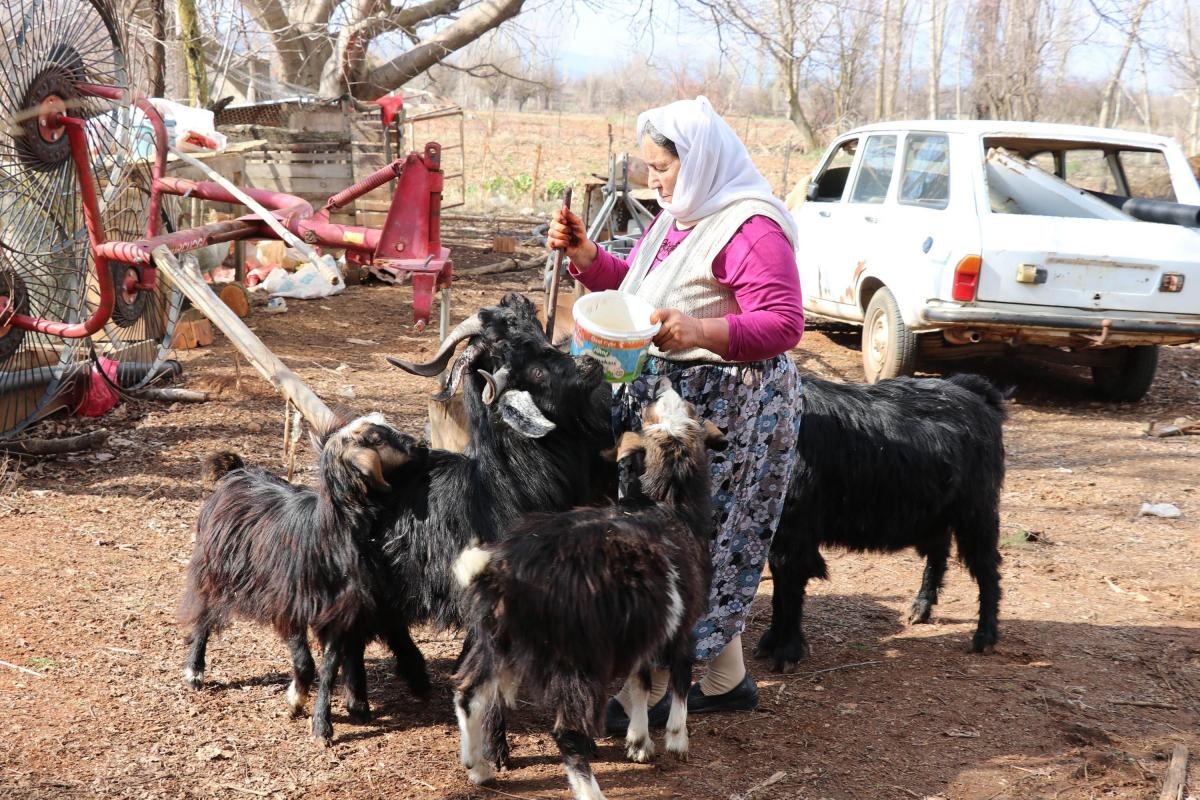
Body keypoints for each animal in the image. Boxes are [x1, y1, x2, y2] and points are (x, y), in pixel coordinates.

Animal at [178, 412, 432, 743]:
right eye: (376, 438)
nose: (423, 445)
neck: (328, 533)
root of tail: (238, 471)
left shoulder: (337, 615)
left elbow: (329, 669)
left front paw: (322, 725)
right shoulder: (290, 604)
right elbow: (305, 662)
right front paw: (296, 700)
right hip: (216, 570)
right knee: (204, 616)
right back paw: (194, 671)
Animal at [453, 383, 724, 796]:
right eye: (652, 410)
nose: (665, 384)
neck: (670, 504)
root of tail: (506, 573)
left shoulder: (644, 627)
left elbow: (641, 681)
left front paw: (639, 742)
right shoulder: (684, 622)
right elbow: (679, 674)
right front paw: (677, 740)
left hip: (494, 641)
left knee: (468, 694)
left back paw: (479, 768)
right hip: (578, 661)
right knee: (567, 732)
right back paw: (590, 791)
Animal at [753, 371, 1008, 671]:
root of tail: (973, 391)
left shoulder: (795, 532)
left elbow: (789, 590)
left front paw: (787, 652)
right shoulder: (777, 534)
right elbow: (779, 591)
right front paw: (770, 641)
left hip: (976, 510)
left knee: (987, 568)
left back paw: (985, 636)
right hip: (935, 514)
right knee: (939, 552)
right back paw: (921, 607)